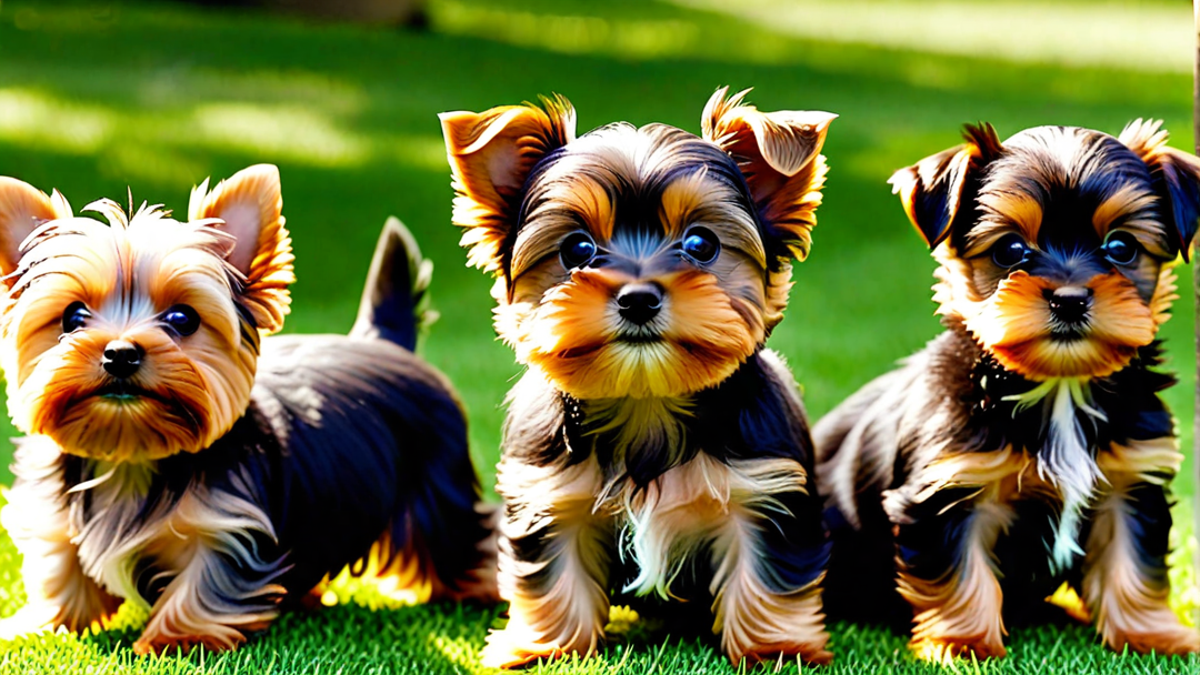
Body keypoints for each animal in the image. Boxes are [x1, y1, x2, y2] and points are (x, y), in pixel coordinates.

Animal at [0, 164, 496, 653]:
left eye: (182, 319)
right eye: (73, 317)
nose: (120, 353)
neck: (132, 455)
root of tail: (386, 341)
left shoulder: (231, 523)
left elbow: (209, 579)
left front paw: (180, 637)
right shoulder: (57, 513)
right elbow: (60, 568)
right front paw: (42, 623)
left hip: (437, 487)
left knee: (462, 538)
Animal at [439, 86, 835, 662]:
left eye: (700, 244)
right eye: (577, 248)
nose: (638, 298)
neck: (645, 398)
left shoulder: (765, 487)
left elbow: (767, 571)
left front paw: (775, 646)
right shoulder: (547, 493)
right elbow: (550, 571)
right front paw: (544, 646)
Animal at [816, 121, 1200, 662]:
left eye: (1121, 247)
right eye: (1011, 250)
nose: (1069, 298)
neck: (1060, 387)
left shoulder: (1131, 483)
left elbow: (1134, 564)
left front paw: (1152, 635)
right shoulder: (948, 488)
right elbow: (958, 572)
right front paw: (963, 643)